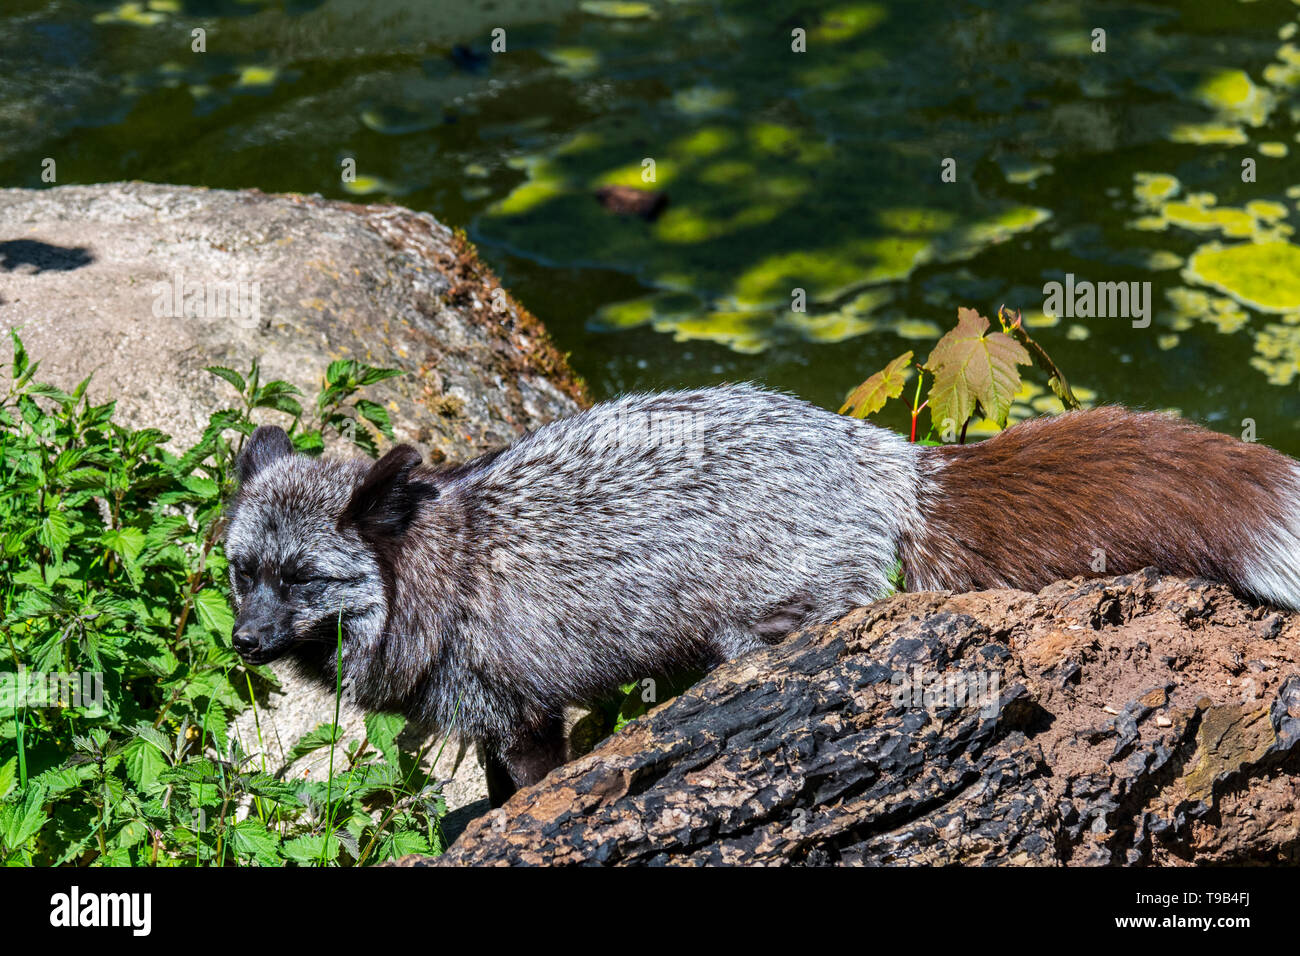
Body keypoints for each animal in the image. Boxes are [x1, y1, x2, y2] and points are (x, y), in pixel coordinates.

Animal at [226, 382, 1300, 801]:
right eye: (241, 572)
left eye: (303, 578)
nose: (240, 643)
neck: (440, 573)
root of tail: (889, 461)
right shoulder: (495, 722)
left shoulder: (525, 716)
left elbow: (520, 794)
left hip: (755, 636)